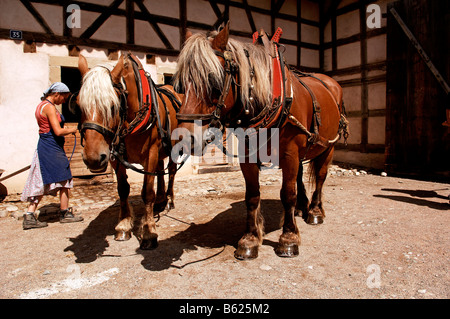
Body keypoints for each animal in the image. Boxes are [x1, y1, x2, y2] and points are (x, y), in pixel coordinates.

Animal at [77, 53, 183, 250]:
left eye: (113, 105)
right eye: (79, 105)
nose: (93, 158)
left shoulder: (150, 152)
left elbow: (147, 192)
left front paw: (148, 231)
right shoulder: (116, 158)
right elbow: (123, 189)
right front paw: (124, 225)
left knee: (171, 171)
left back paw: (169, 199)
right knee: (160, 171)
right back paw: (160, 201)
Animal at [172, 24, 348, 260]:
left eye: (213, 81)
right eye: (181, 84)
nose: (184, 138)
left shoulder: (290, 153)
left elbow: (287, 194)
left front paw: (289, 238)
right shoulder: (248, 156)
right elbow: (252, 196)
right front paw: (251, 239)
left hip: (328, 146)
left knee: (320, 177)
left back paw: (315, 211)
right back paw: (302, 207)